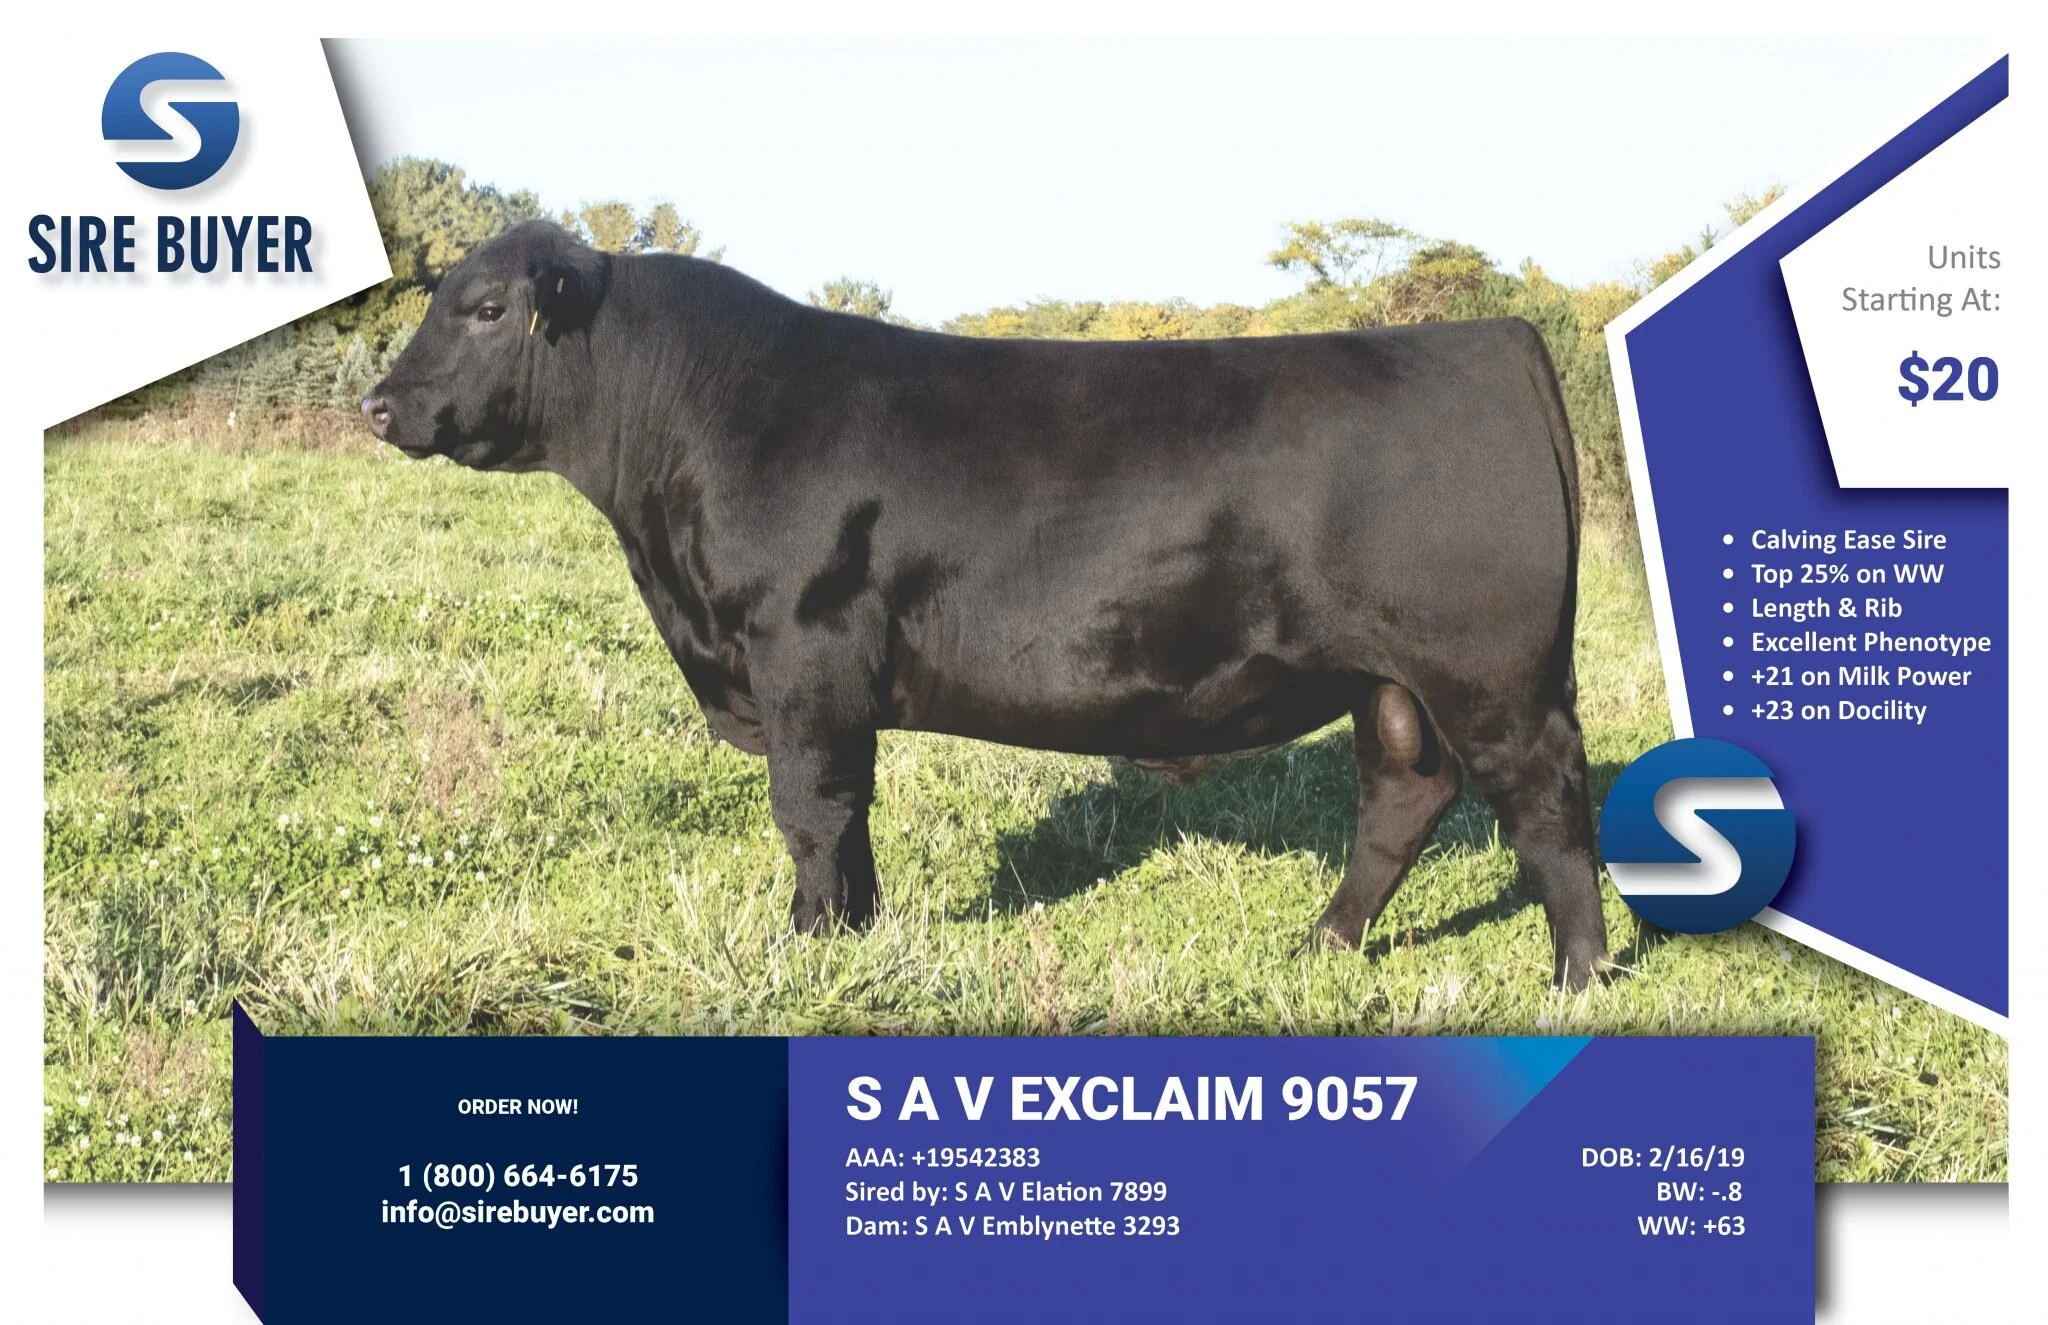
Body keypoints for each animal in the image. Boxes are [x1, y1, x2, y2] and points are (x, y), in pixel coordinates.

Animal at [363, 220, 1610, 988]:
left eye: (485, 307)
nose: (378, 403)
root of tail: (1491, 338)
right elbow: (850, 815)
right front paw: (854, 934)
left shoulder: (799, 646)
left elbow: (810, 808)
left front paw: (807, 944)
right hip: (1389, 679)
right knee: (1404, 795)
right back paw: (1322, 944)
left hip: (1489, 669)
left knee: (1545, 802)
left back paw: (1578, 974)